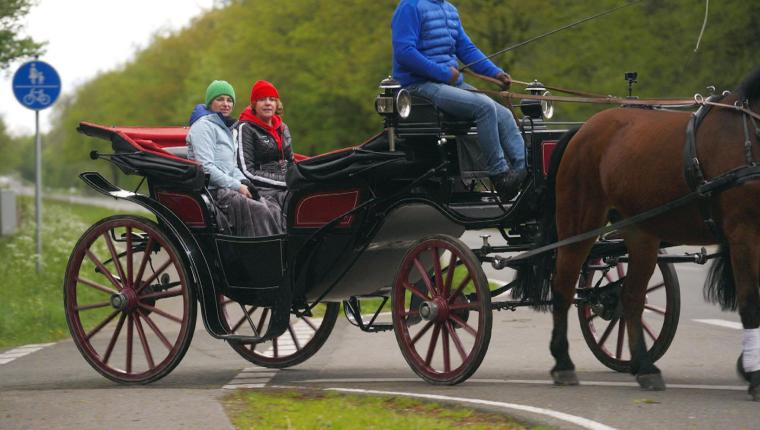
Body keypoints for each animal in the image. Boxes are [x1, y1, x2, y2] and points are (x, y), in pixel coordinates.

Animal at [520, 65, 760, 402]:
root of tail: (583, 129)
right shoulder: (743, 234)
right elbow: (751, 301)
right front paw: (754, 375)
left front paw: (748, 367)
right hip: (580, 224)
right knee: (563, 287)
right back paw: (563, 362)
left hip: (640, 233)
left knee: (630, 296)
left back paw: (644, 367)